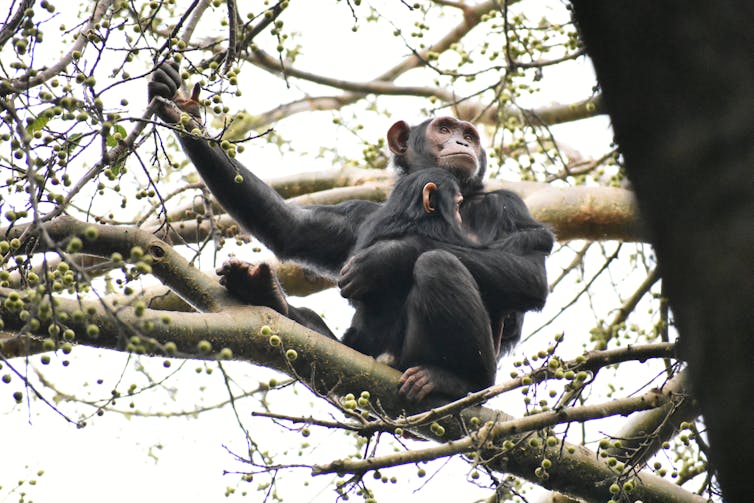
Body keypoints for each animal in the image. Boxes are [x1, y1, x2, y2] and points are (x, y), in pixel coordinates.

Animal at [145, 64, 552, 402]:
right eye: (445, 129)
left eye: (469, 134)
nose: (464, 142)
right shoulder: (359, 213)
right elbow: (293, 229)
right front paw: (185, 112)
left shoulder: (509, 206)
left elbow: (528, 273)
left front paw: (388, 259)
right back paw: (264, 292)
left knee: (440, 265)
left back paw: (453, 380)